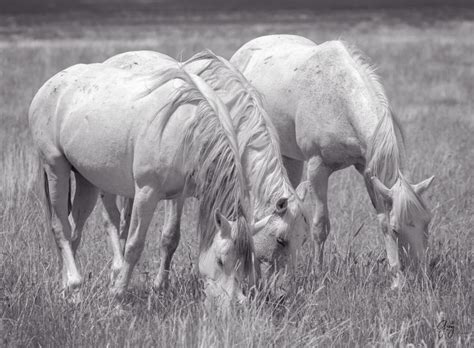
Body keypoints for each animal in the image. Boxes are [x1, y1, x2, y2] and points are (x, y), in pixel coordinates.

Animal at [28, 61, 260, 306]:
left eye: (246, 264)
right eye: (220, 261)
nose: (235, 304)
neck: (188, 126)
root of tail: (51, 84)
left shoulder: (178, 195)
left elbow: (169, 238)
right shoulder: (146, 193)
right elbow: (133, 245)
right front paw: (118, 297)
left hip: (87, 181)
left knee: (74, 231)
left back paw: (67, 291)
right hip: (56, 170)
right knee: (60, 228)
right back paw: (75, 286)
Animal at [103, 50, 312, 294]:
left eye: (304, 241)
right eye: (281, 240)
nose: (282, 293)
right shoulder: (177, 194)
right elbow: (170, 237)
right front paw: (160, 285)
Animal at [231, 34, 436, 288]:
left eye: (427, 222)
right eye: (399, 230)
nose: (421, 278)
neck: (341, 98)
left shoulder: (367, 170)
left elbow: (381, 220)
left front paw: (396, 279)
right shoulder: (318, 168)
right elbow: (320, 226)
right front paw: (318, 275)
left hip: (290, 158)